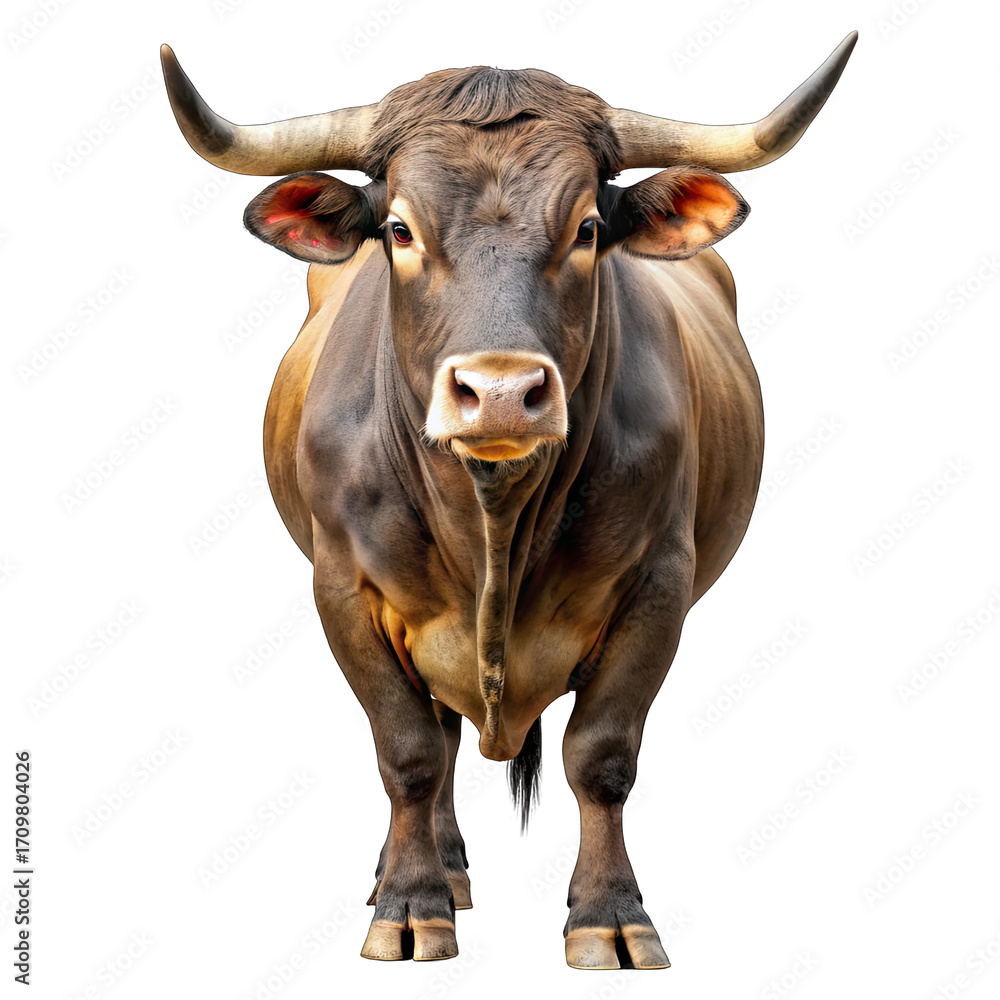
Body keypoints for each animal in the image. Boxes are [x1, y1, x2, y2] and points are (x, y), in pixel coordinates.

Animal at [162, 32, 856, 969]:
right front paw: (410, 906)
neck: (492, 521)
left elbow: (601, 754)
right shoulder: (343, 588)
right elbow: (408, 750)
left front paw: (610, 915)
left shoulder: (658, 585)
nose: (498, 394)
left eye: (589, 228)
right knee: (442, 737)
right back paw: (436, 871)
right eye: (399, 228)